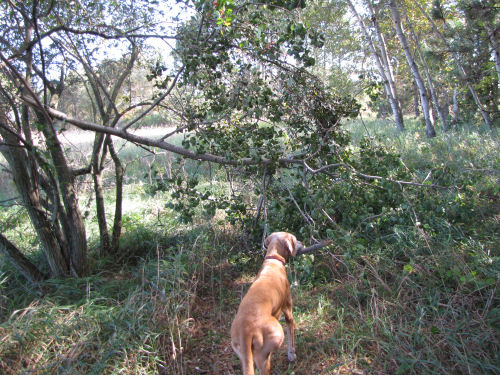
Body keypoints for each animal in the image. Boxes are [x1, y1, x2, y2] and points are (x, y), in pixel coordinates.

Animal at [229, 232, 302, 375]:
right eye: (295, 240)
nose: (302, 243)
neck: (273, 260)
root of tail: (246, 331)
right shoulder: (288, 310)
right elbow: (291, 334)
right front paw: (292, 354)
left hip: (243, 355)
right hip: (273, 340)